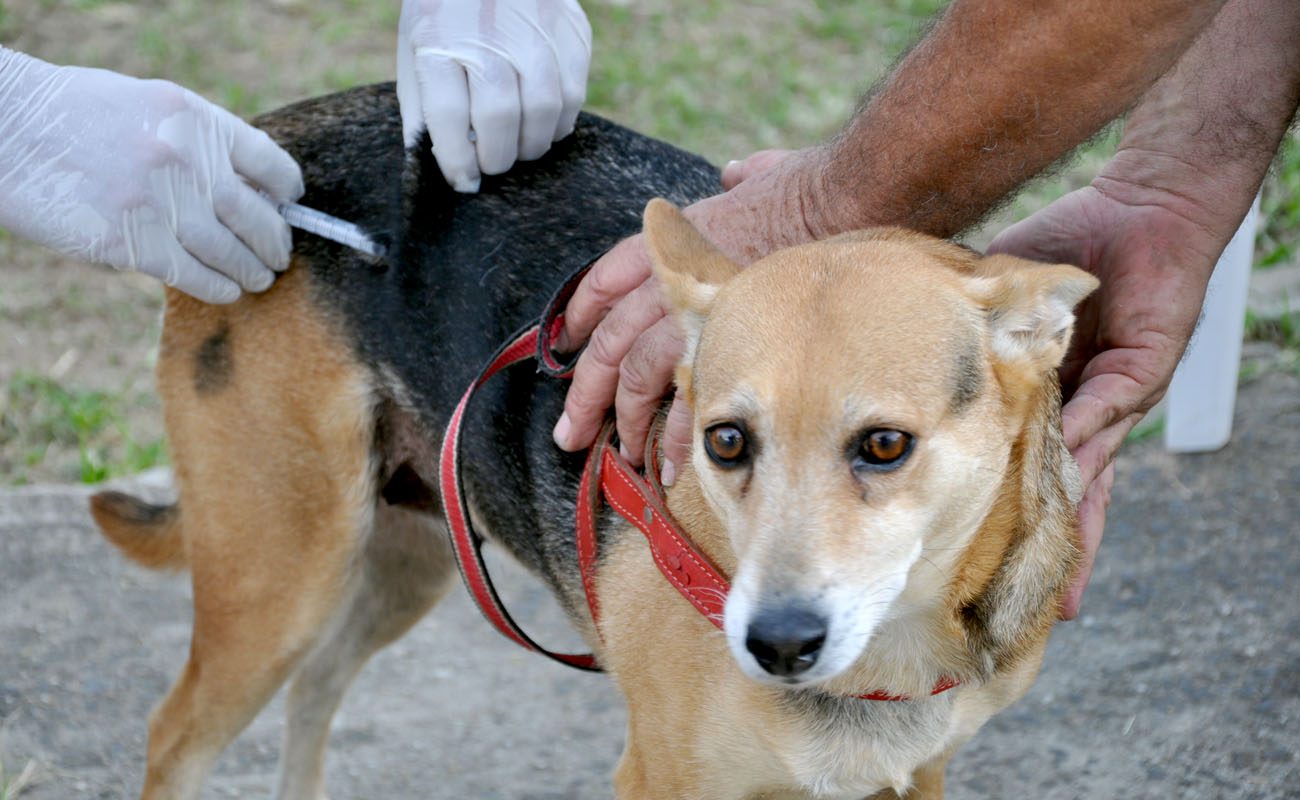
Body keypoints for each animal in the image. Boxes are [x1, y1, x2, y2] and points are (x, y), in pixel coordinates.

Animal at [89, 82, 1097, 800]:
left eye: (885, 446)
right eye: (725, 441)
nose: (774, 644)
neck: (896, 649)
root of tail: (278, 146)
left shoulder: (917, 776)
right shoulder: (662, 780)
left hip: (407, 553)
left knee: (315, 692)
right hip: (285, 575)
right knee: (174, 737)